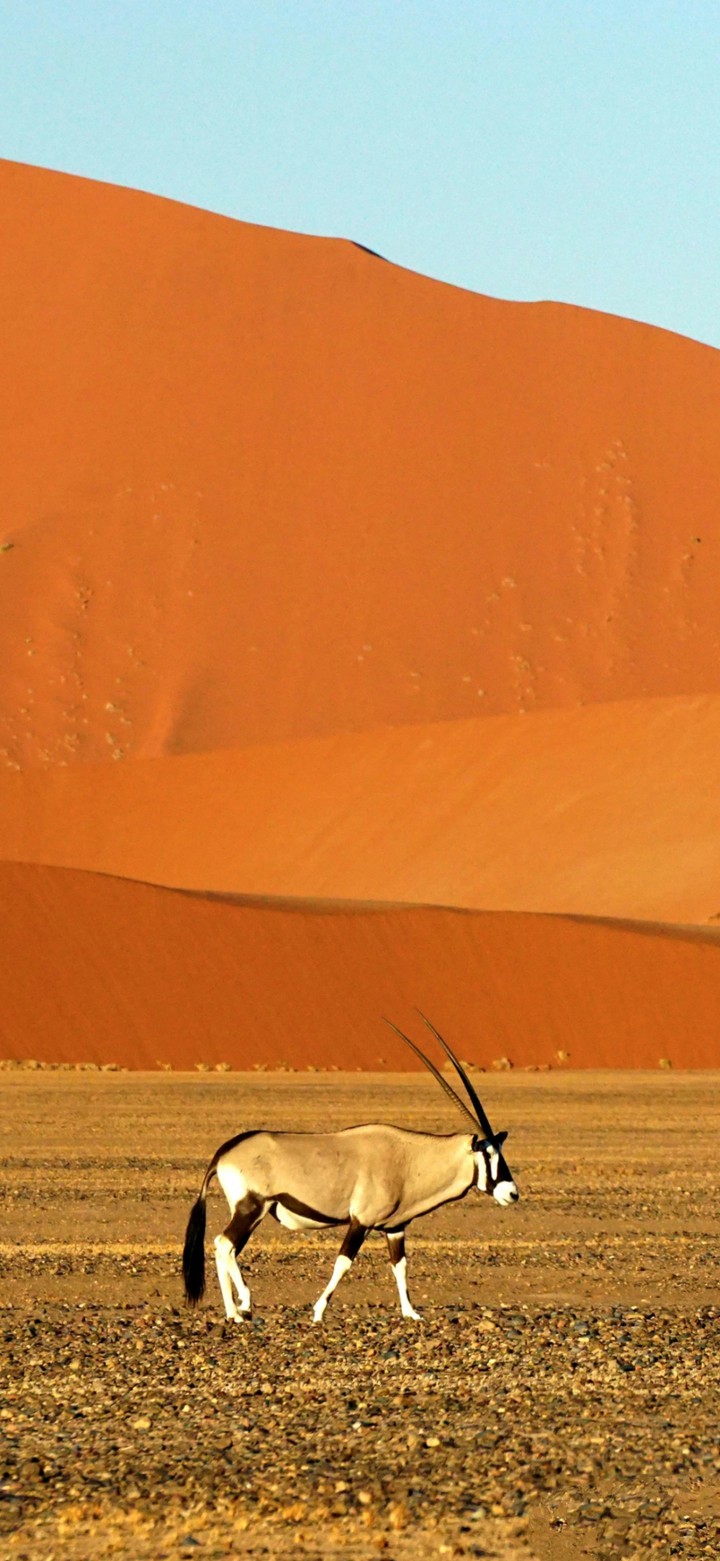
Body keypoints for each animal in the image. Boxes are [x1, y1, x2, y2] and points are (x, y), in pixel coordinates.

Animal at [182, 1014, 518, 1323]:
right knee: (224, 1245)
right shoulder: (361, 1221)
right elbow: (343, 1262)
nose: (512, 1193)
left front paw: (411, 1313)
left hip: (255, 1213)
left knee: (229, 1249)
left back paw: (240, 1306)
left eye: (502, 1152)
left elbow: (400, 1266)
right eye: (488, 1154)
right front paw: (318, 1312)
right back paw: (237, 1309)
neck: (409, 1158)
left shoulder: (395, 1227)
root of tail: (224, 1152)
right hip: (252, 1207)